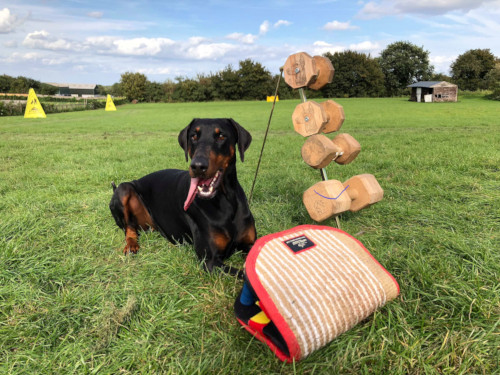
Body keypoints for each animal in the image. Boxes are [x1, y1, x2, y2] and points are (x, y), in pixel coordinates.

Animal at [110, 119, 258, 278]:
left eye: (221, 136)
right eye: (193, 136)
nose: (198, 166)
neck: (226, 200)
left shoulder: (250, 243)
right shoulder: (210, 261)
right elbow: (244, 275)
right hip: (124, 189)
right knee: (129, 227)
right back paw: (131, 245)